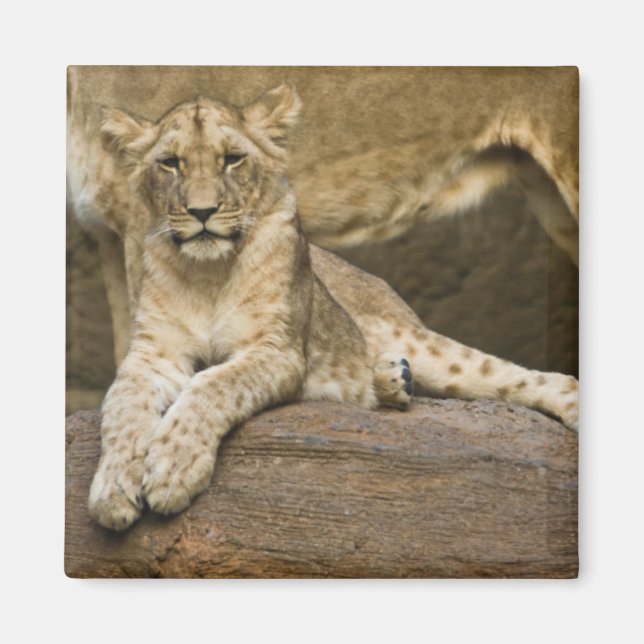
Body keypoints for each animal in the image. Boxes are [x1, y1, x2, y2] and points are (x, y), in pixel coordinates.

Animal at [83, 84, 578, 531]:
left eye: (232, 159)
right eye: (170, 163)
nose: (202, 212)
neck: (208, 273)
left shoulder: (279, 350)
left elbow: (213, 385)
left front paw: (172, 468)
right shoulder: (152, 354)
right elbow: (121, 406)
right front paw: (113, 488)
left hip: (423, 344)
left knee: (532, 378)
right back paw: (390, 381)